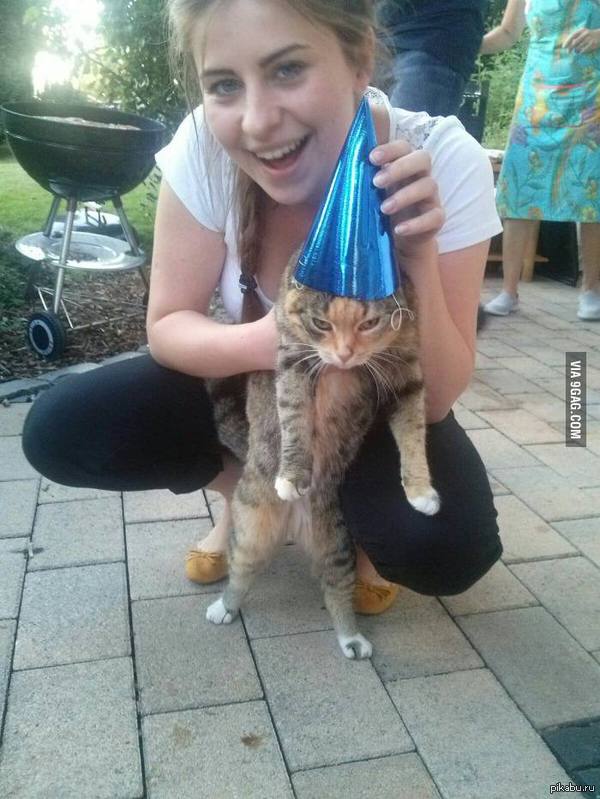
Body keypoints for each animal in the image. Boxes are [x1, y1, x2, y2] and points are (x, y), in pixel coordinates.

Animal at [205, 251, 440, 659]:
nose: (345, 354)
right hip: (252, 527)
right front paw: (291, 476)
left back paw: (351, 638)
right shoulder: (292, 359)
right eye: (320, 323)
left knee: (336, 591)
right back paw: (225, 606)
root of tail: (294, 522)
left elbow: (413, 431)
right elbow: (294, 417)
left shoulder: (406, 372)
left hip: (337, 542)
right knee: (241, 570)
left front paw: (420, 492)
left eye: (370, 322)